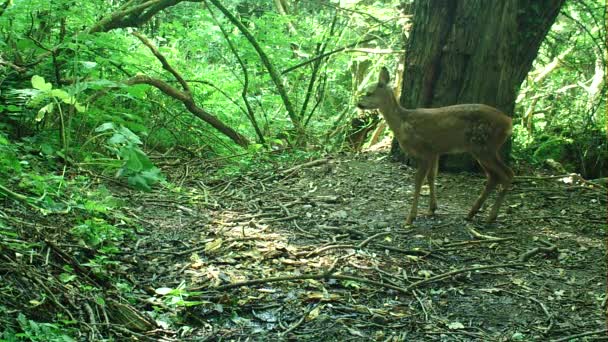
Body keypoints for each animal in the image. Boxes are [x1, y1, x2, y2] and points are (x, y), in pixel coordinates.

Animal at [356, 68, 512, 226]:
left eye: (369, 93)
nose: (358, 104)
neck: (403, 123)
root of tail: (508, 122)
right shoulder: (434, 152)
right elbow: (431, 177)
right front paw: (431, 209)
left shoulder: (423, 151)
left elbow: (418, 181)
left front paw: (410, 217)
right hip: (482, 148)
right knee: (494, 176)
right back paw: (472, 213)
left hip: (484, 146)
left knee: (506, 174)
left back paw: (491, 216)